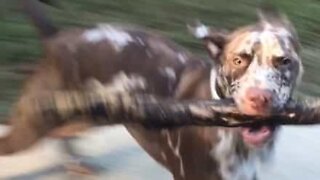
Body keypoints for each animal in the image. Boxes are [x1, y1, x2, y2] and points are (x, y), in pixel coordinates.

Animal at [0, 0, 302, 179]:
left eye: (284, 60)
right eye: (238, 60)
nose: (259, 98)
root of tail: (56, 39)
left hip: (84, 116)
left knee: (62, 134)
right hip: (33, 125)